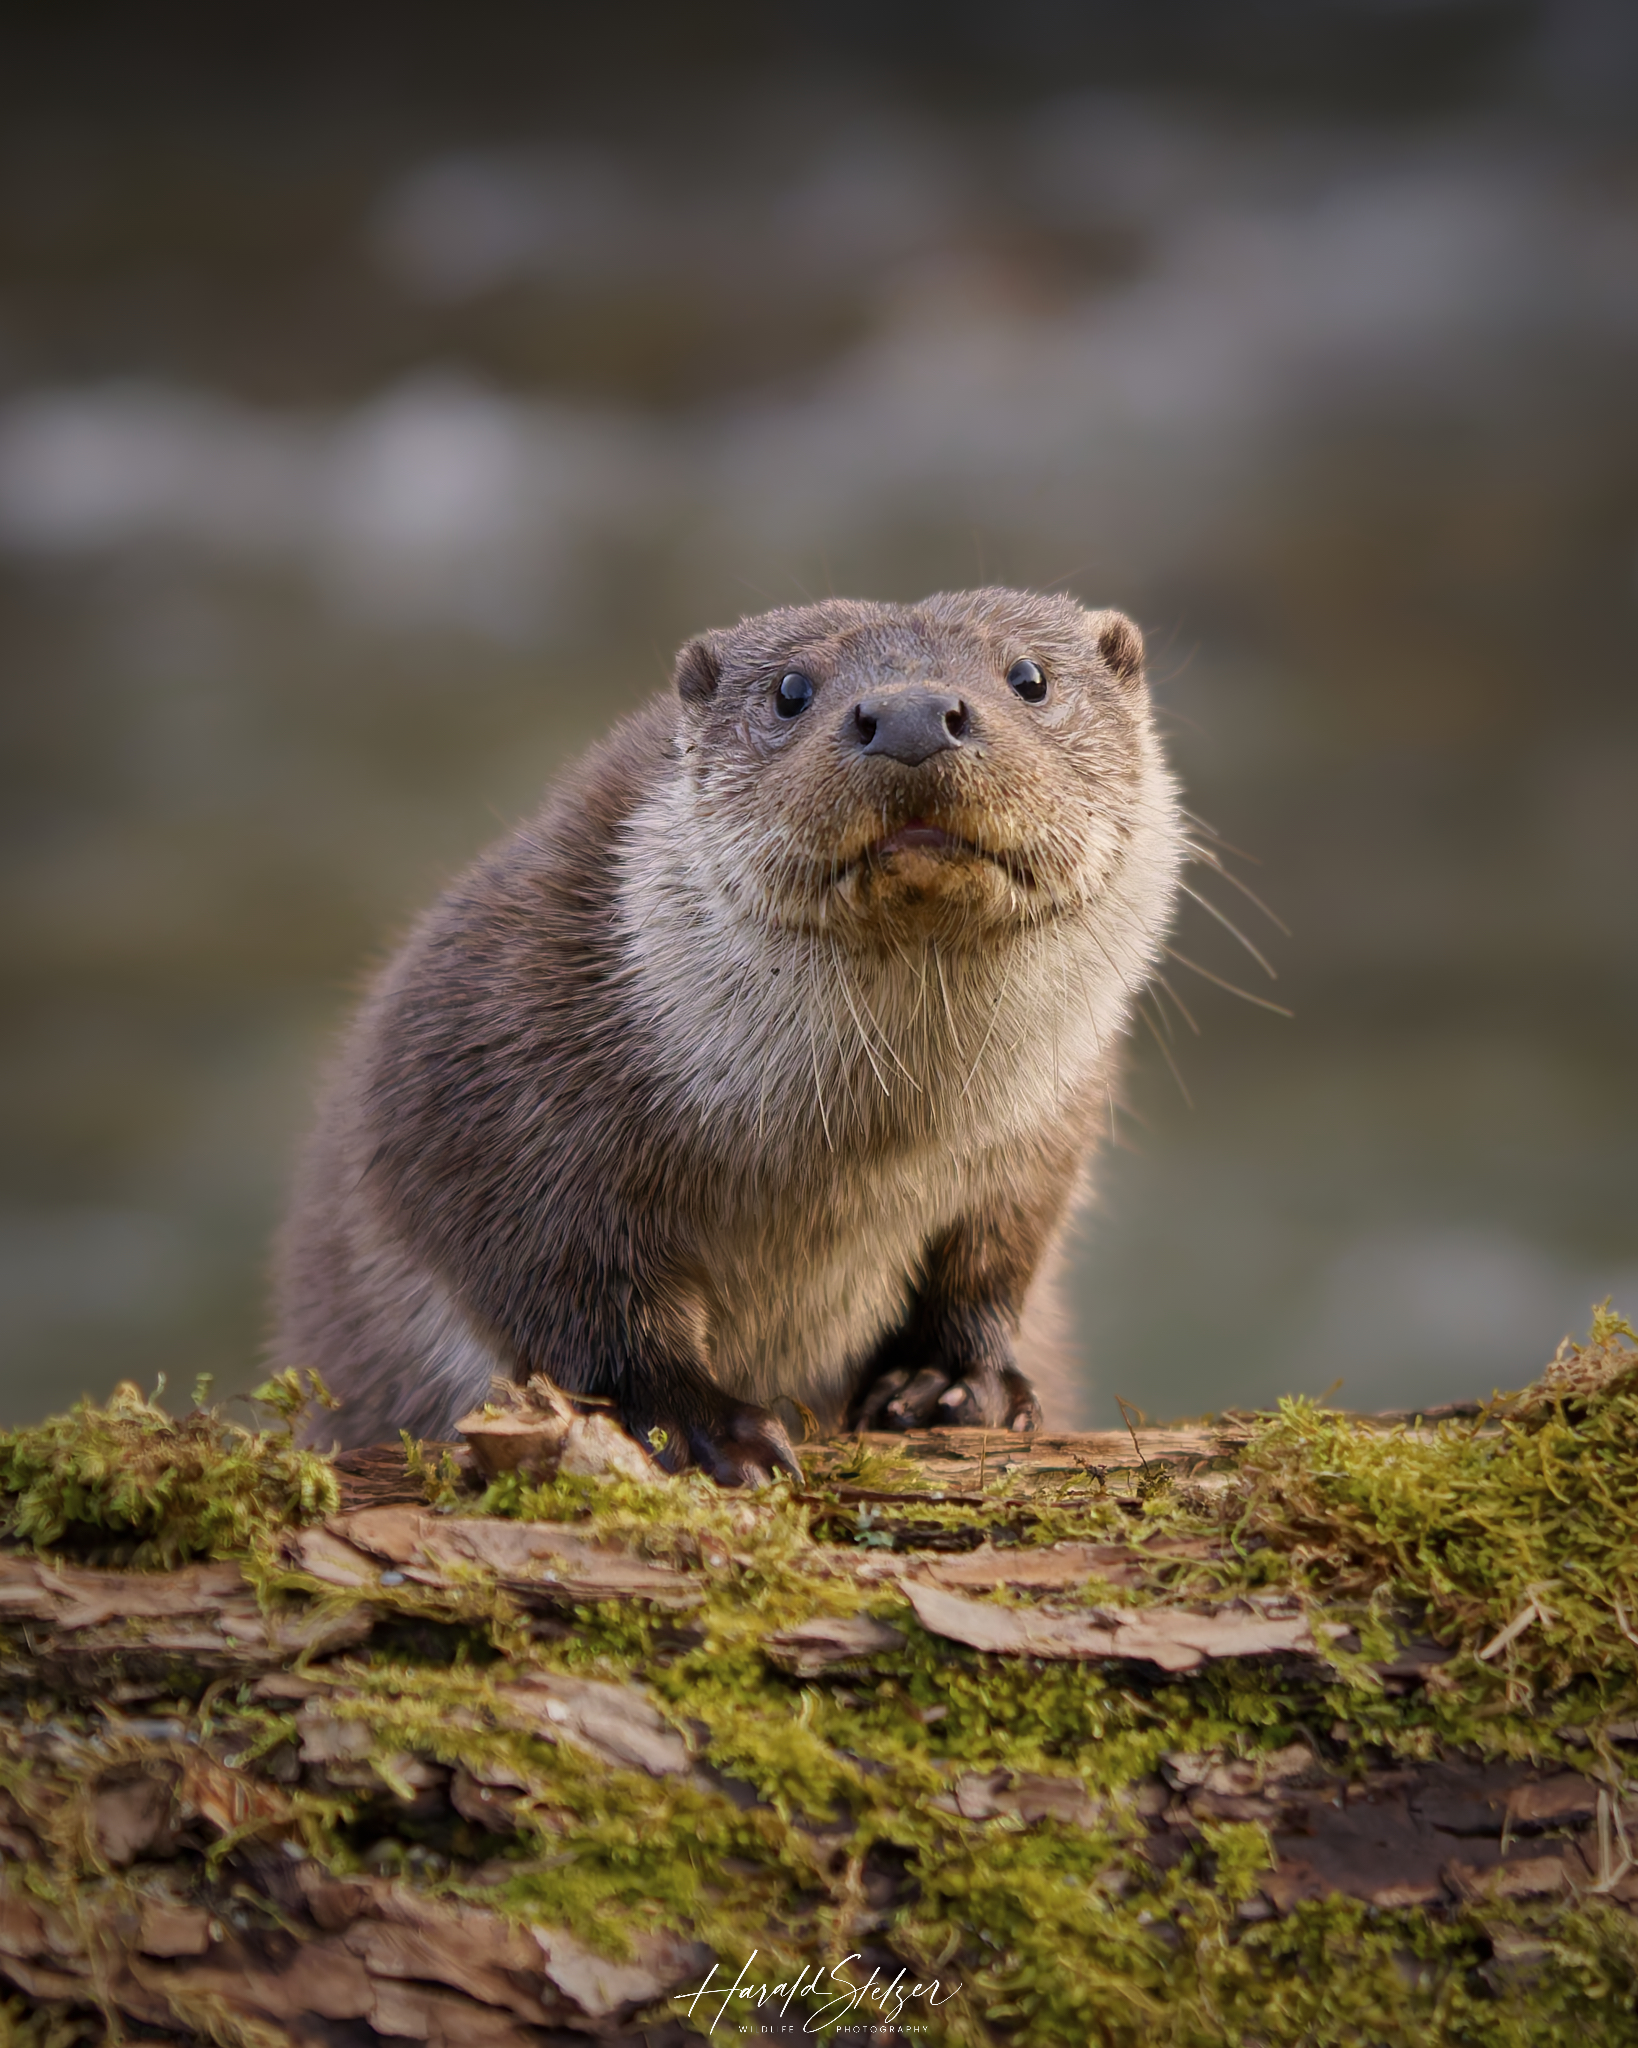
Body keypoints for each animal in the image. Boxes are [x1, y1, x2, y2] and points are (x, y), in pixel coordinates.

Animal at [274, 585, 1187, 1482]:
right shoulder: (492, 1079)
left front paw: (952, 1381)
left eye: (1030, 677)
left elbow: (998, 1254)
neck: (864, 1155)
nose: (912, 716)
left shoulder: (1048, 1131)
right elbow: (568, 1290)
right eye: (790, 690)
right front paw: (699, 1422)